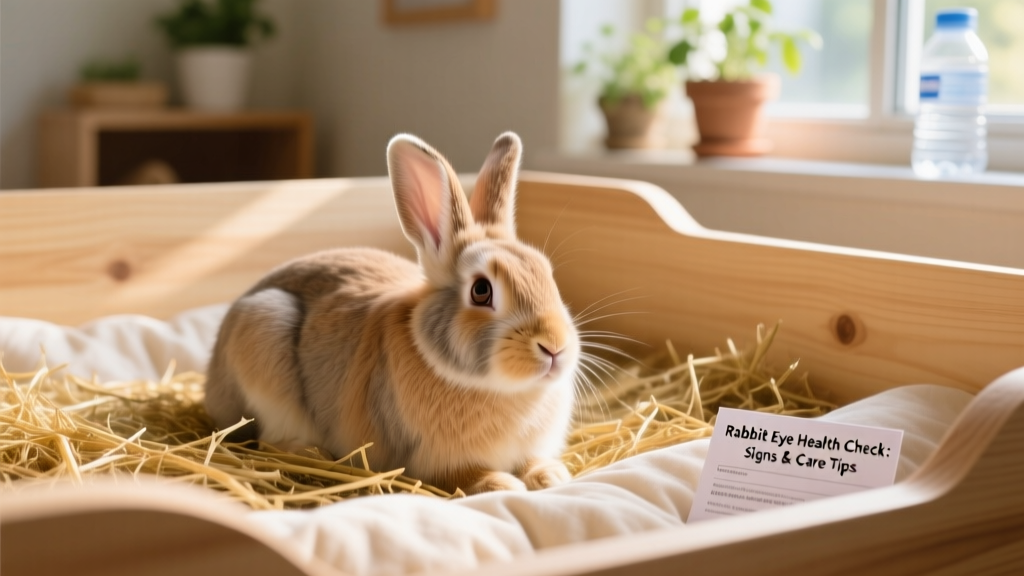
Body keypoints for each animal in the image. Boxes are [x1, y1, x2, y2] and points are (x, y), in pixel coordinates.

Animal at [205, 132, 581, 494]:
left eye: (547, 273)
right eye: (481, 290)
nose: (554, 346)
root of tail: (212, 385)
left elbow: (534, 462)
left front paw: (552, 476)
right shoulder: (429, 461)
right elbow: (461, 474)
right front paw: (500, 483)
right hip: (264, 336)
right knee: (268, 439)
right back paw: (313, 454)